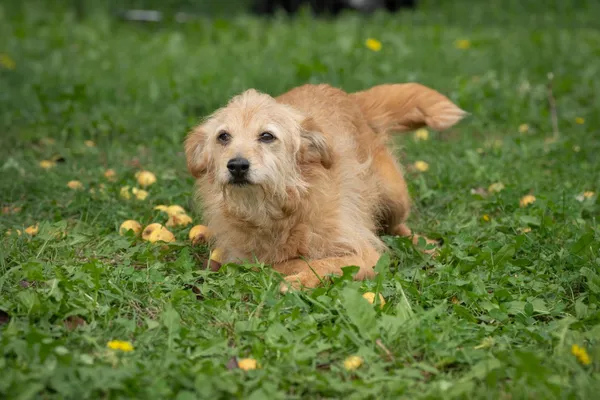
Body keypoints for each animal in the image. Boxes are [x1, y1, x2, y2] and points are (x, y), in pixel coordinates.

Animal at [185, 83, 466, 290]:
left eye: (267, 136)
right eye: (223, 136)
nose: (237, 166)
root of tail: (348, 97)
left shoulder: (365, 255)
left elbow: (327, 264)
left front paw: (299, 280)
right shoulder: (243, 257)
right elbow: (276, 263)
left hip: (393, 196)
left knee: (399, 228)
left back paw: (424, 244)